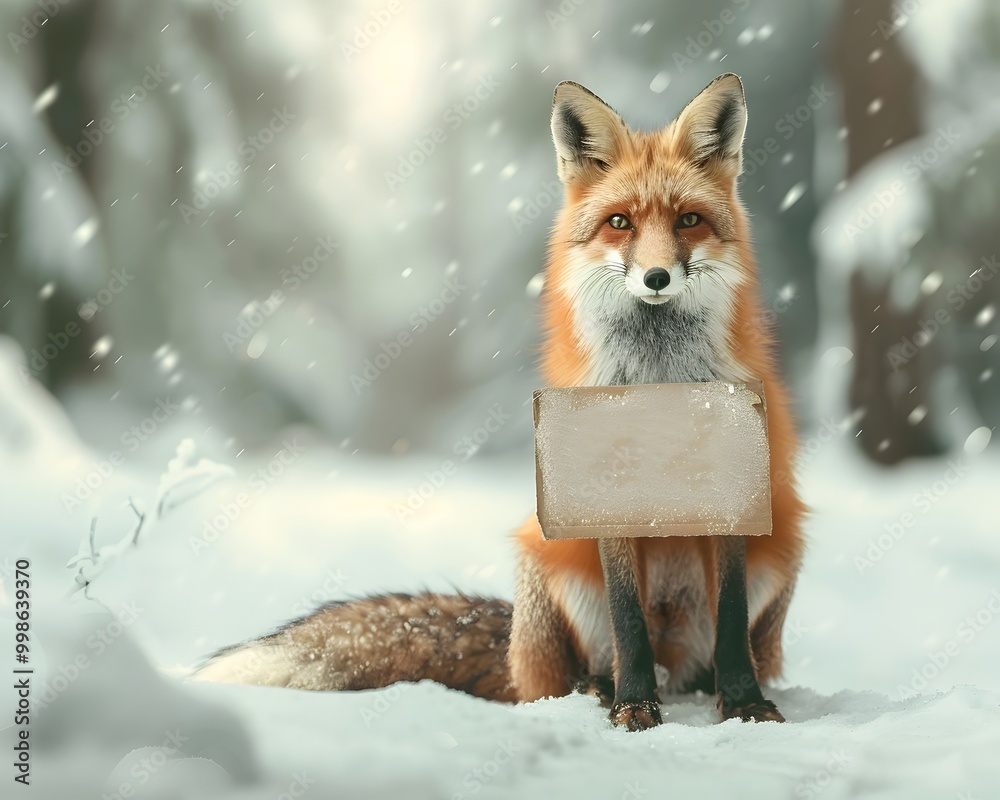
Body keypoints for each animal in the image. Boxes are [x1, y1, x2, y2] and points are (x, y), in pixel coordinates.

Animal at [194, 73, 806, 731]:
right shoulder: (602, 501)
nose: (657, 278)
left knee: (702, 661)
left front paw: (743, 703)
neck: (658, 387)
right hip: (546, 562)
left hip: (780, 550)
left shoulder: (732, 498)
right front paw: (635, 706)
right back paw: (602, 688)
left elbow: (731, 621)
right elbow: (628, 623)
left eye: (689, 220)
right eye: (620, 222)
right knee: (567, 676)